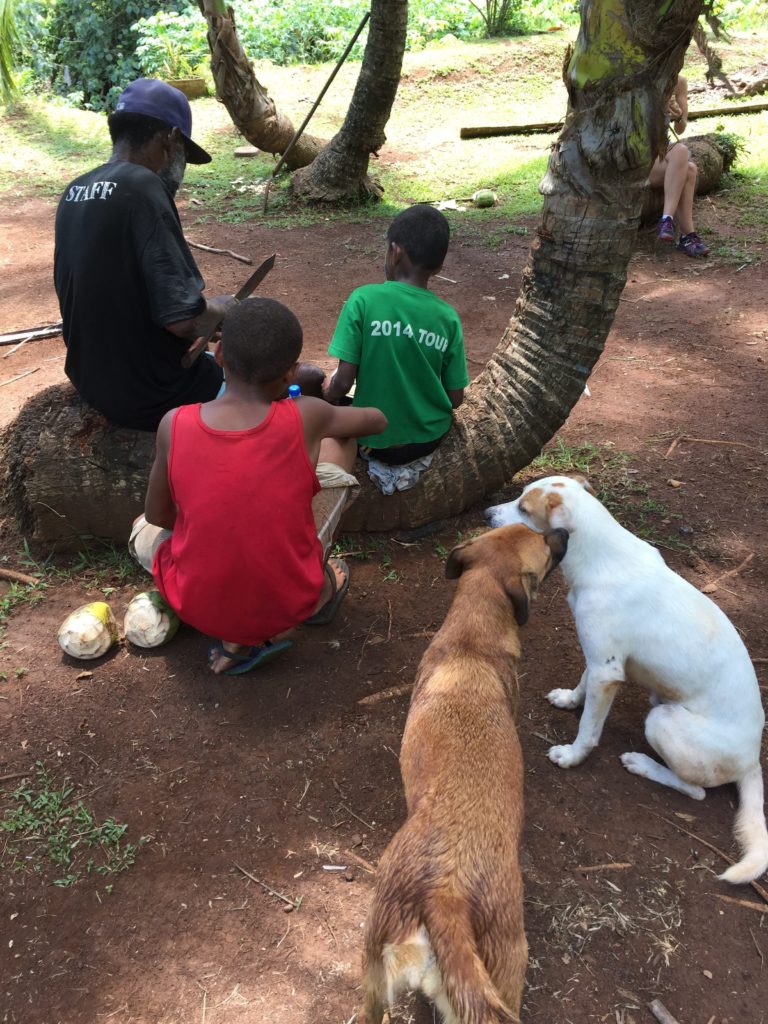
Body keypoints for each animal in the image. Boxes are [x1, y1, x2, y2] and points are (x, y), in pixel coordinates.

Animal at [358, 524, 569, 1024]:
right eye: (545, 545)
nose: (565, 531)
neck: (470, 640)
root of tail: (445, 896)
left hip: (374, 969)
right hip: (507, 959)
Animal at [489, 475, 765, 884]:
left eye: (523, 509)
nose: (486, 513)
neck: (600, 558)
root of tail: (752, 759)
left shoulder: (607, 670)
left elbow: (589, 729)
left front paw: (571, 756)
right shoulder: (600, 658)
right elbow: (582, 684)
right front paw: (569, 700)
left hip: (662, 722)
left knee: (696, 791)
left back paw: (641, 763)